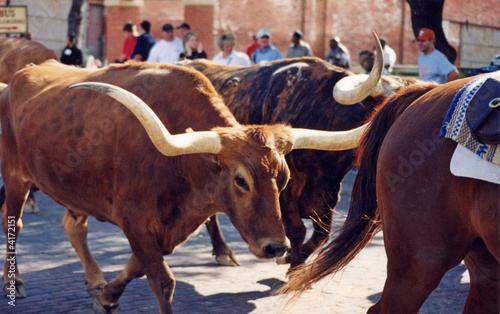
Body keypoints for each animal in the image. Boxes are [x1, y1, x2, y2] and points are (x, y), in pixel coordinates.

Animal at [0, 60, 368, 312]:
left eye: (284, 177)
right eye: (241, 180)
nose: (276, 248)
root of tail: (14, 80)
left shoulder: (167, 228)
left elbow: (137, 266)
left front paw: (106, 297)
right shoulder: (134, 219)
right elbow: (163, 281)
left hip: (75, 188)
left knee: (73, 226)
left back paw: (94, 282)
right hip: (16, 177)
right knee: (13, 222)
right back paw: (14, 279)